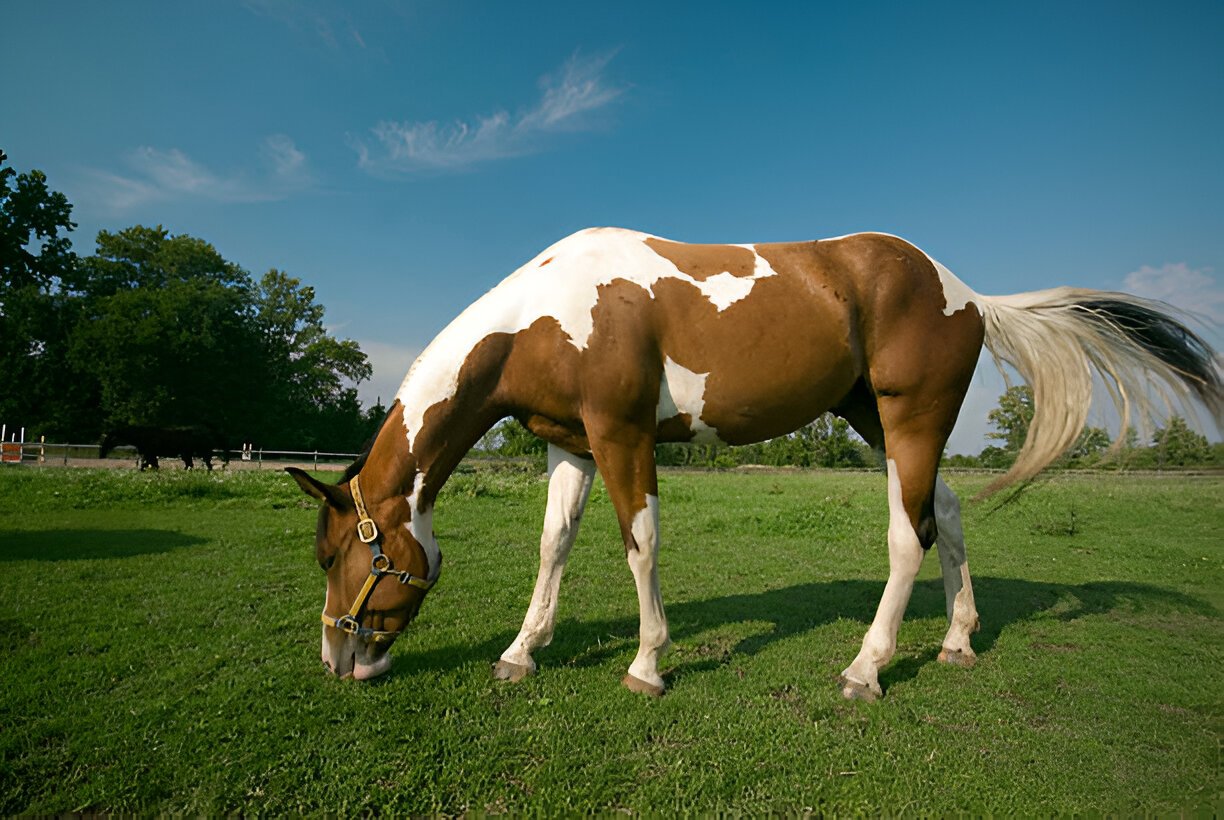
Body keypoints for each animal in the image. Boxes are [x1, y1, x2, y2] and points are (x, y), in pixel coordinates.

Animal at [287, 228, 1221, 699]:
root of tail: (963, 292)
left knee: (907, 538)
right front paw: (521, 652)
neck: (548, 313)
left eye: (338, 557)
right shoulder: (570, 442)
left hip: (909, 419)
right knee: (945, 514)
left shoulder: (622, 436)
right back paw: (957, 641)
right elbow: (554, 546)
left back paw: (865, 670)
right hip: (880, 424)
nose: (338, 662)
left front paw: (647, 665)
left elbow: (640, 545)